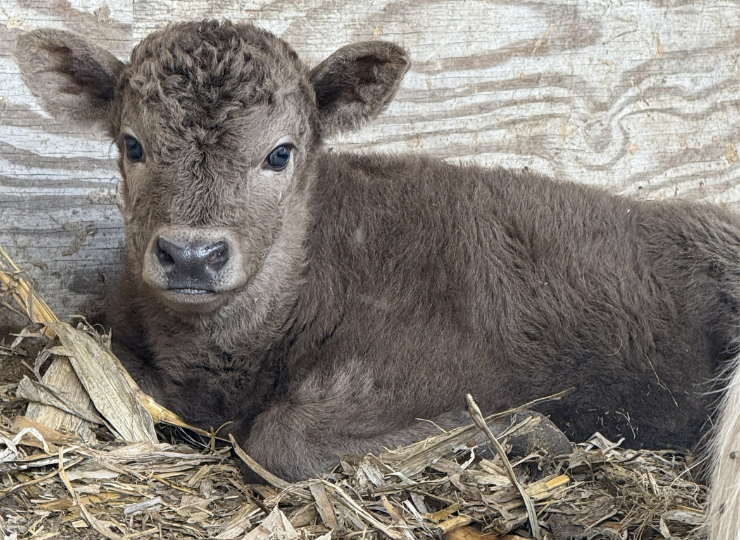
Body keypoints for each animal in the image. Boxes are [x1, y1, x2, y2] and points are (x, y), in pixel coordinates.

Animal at [11, 20, 740, 534]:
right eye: (132, 144)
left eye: (280, 153)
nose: (192, 255)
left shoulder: (422, 365)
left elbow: (279, 441)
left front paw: (528, 431)